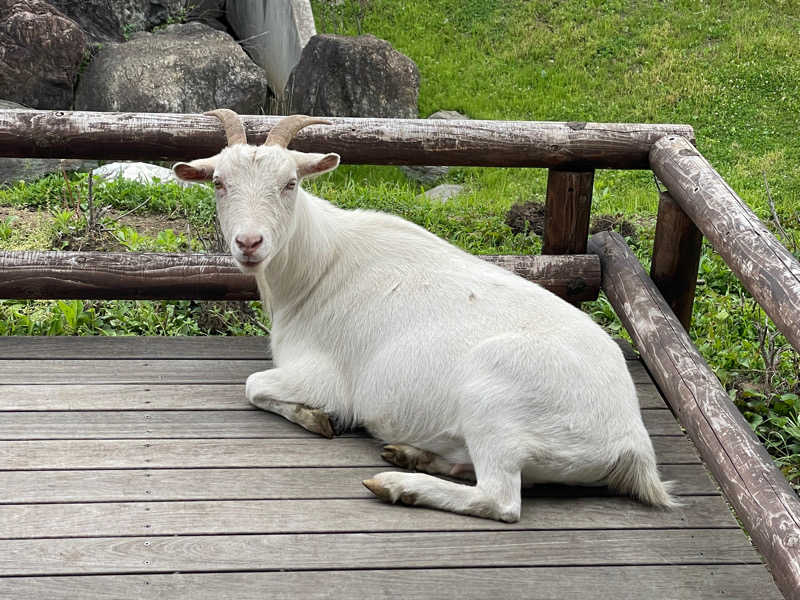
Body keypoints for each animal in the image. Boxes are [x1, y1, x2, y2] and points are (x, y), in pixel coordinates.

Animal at [175, 110, 676, 524]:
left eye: (290, 183)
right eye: (218, 182)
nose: (249, 242)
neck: (319, 265)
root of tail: (632, 446)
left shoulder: (327, 378)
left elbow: (254, 385)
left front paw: (317, 418)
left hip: (495, 399)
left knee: (500, 499)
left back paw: (399, 485)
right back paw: (411, 456)